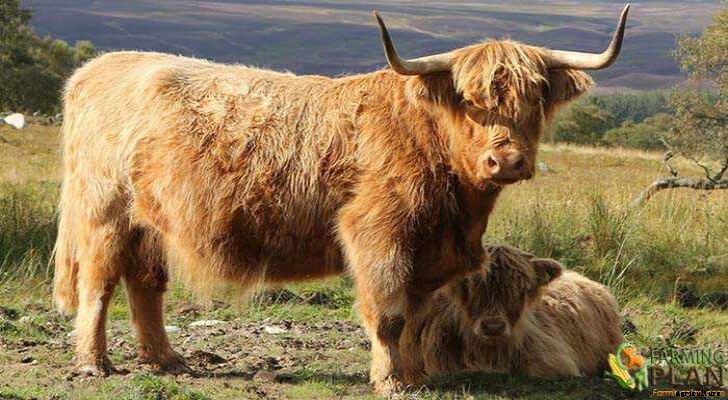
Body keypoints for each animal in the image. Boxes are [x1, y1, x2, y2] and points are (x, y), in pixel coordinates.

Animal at [53, 6, 629, 394]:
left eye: (536, 96)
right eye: (470, 100)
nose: (506, 160)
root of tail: (100, 66)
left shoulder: (429, 253)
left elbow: (415, 316)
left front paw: (414, 376)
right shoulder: (378, 234)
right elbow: (389, 315)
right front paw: (391, 382)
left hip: (151, 223)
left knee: (145, 284)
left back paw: (166, 360)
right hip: (105, 212)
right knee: (99, 286)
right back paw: (93, 363)